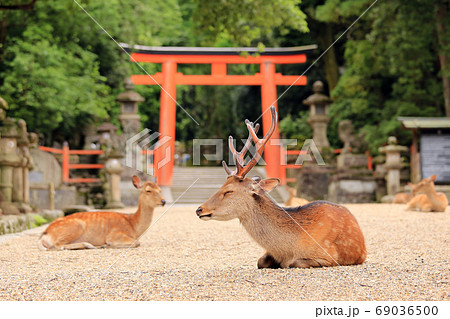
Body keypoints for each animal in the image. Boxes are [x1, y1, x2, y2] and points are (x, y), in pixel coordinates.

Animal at [195, 107, 368, 270]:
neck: (286, 250)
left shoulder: (327, 256)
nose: (199, 209)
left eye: (229, 191)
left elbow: (294, 263)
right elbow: (260, 261)